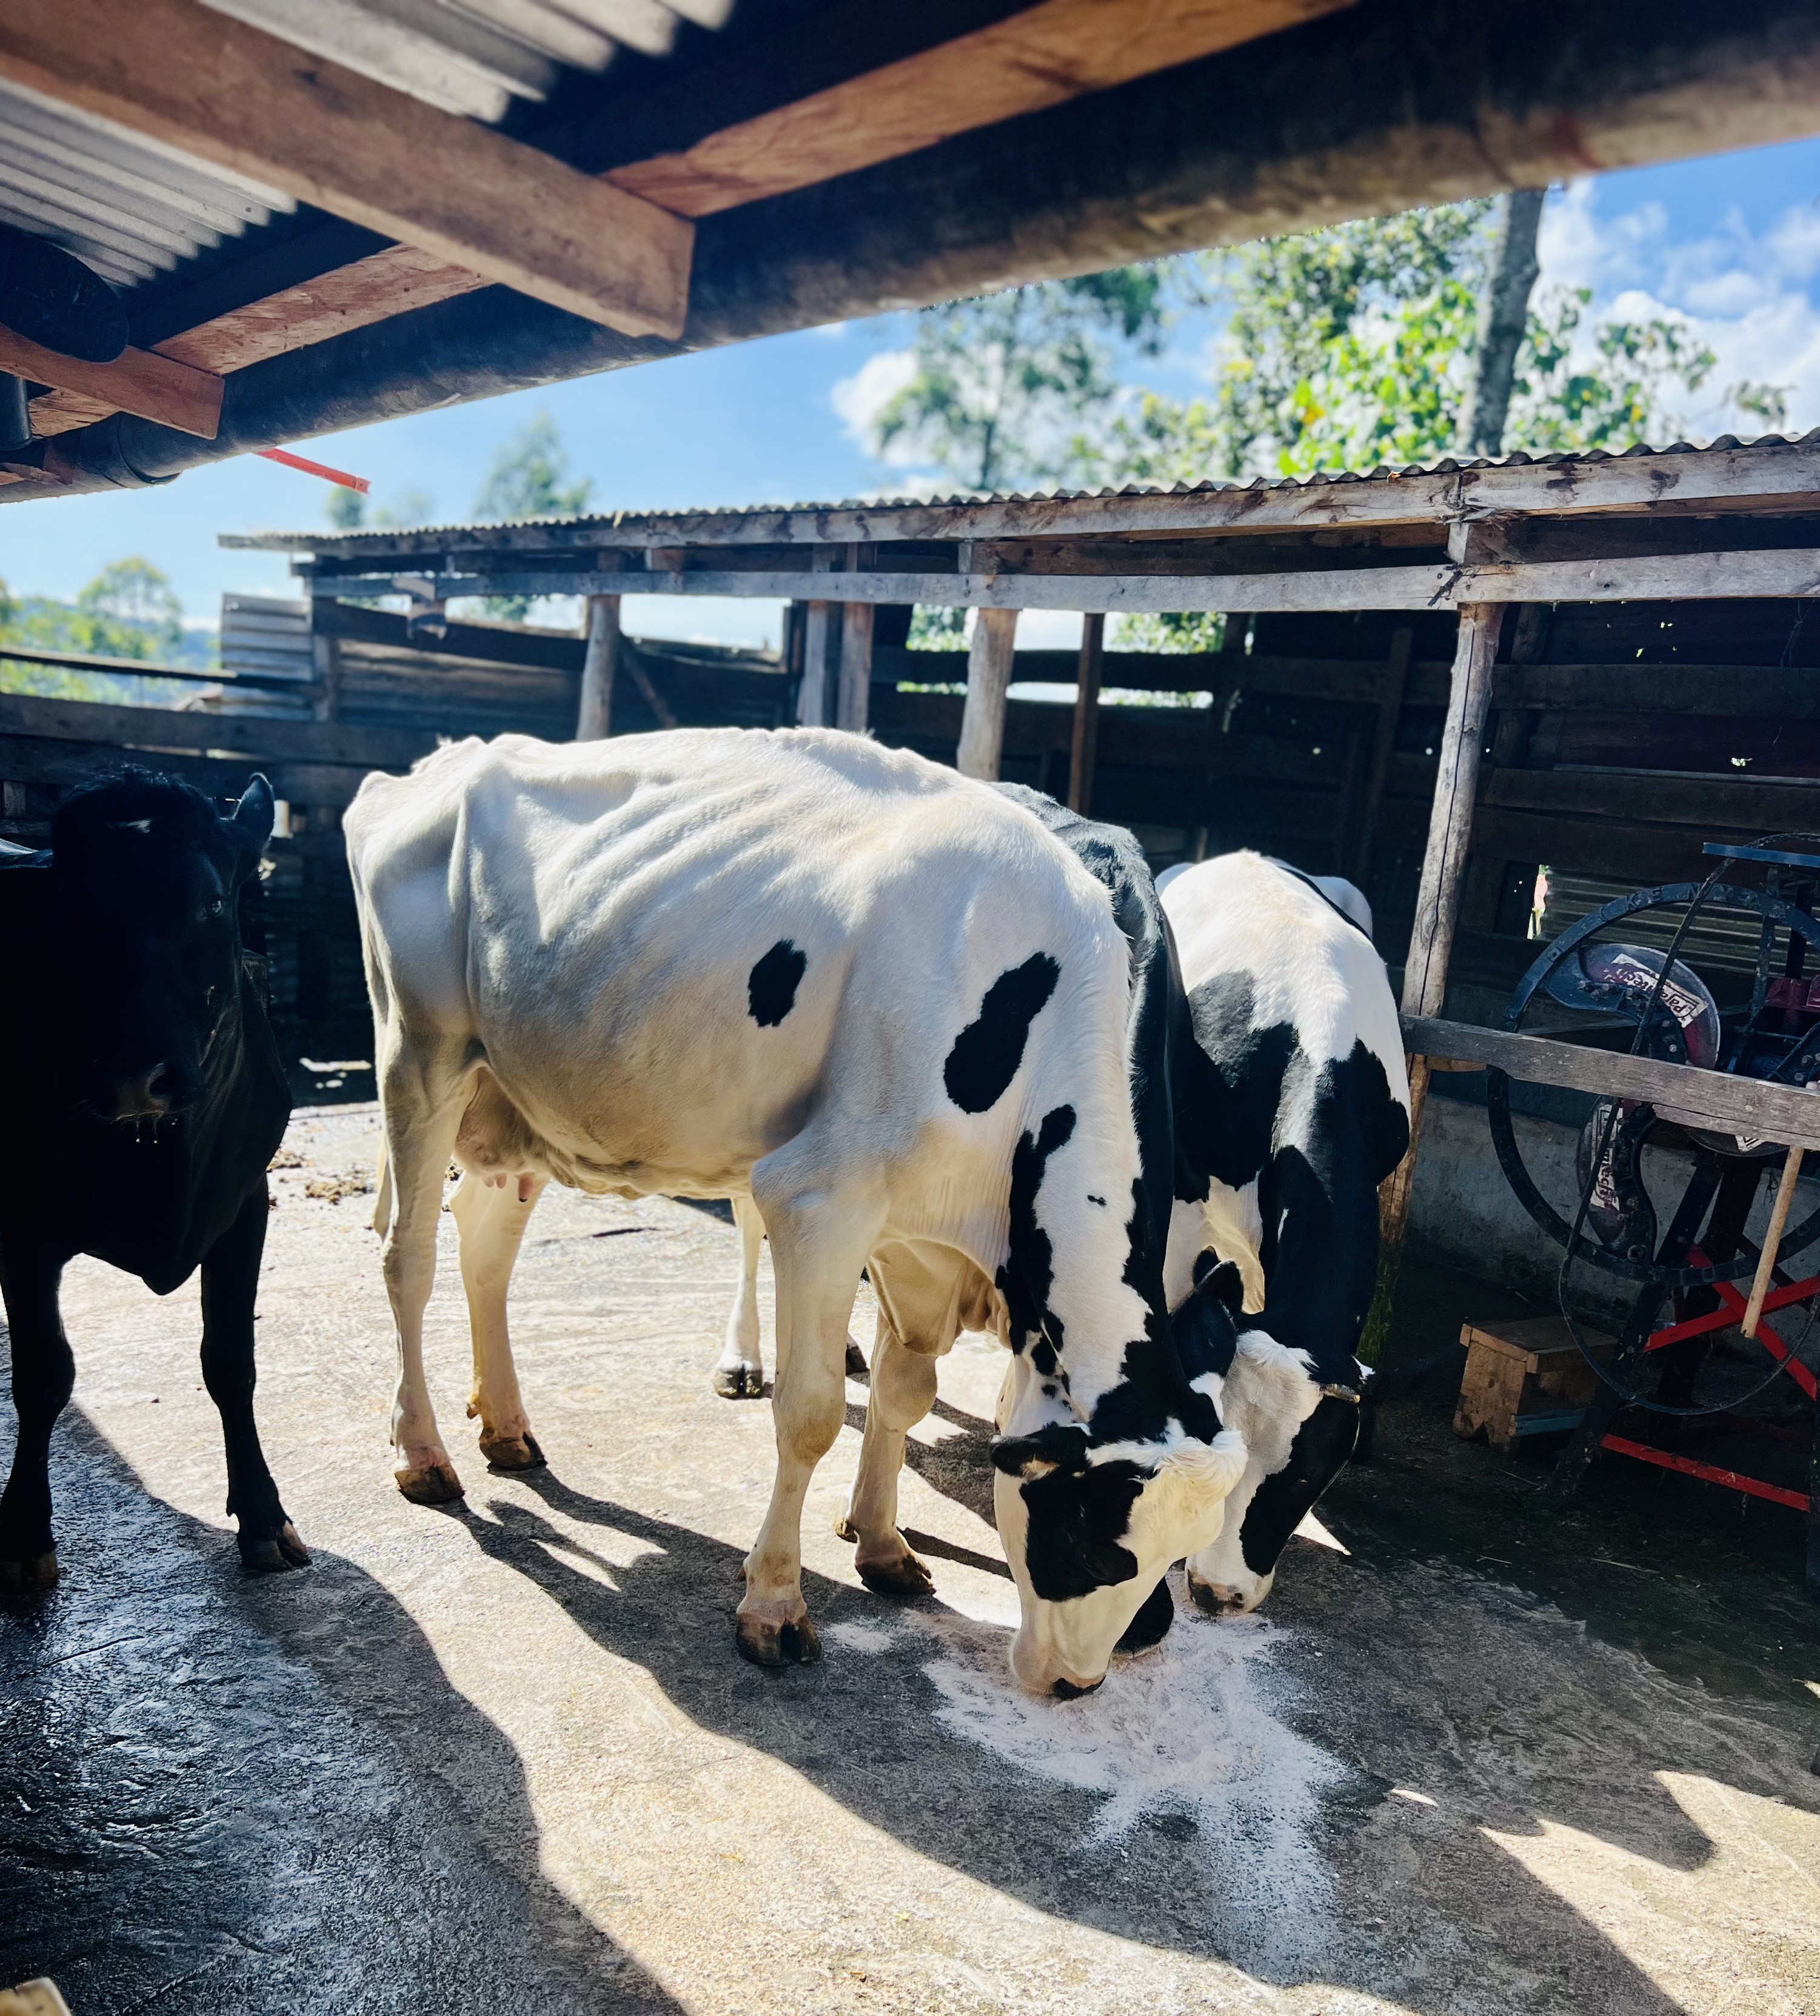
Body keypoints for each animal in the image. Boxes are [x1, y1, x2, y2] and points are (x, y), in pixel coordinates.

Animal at [0, 772, 302, 1591]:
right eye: (70, 909)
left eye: (212, 903)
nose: (136, 1073)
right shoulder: (23, 1225)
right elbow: (43, 1373)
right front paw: (23, 1534)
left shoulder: (245, 1202)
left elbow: (231, 1360)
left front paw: (263, 1516)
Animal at [345, 728, 1246, 1693]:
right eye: (1089, 1537)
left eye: (1178, 1550)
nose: (1076, 1682)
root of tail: (438, 763)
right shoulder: (819, 1196)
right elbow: (810, 1411)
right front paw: (773, 1602)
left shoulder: (914, 1237)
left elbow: (903, 1392)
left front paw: (882, 1543)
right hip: (420, 1054)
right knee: (407, 1257)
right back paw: (421, 1453)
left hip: (515, 1100)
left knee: (485, 1250)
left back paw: (507, 1427)